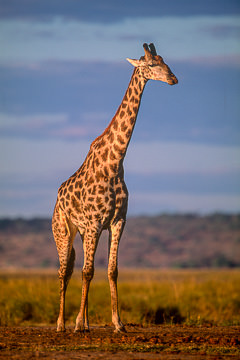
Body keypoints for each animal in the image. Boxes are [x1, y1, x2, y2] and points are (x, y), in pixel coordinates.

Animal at [51, 43, 177, 334]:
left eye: (164, 61)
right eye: (150, 65)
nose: (173, 79)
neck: (115, 162)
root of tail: (58, 195)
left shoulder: (118, 221)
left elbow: (111, 270)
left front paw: (118, 323)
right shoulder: (96, 222)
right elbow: (87, 272)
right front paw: (78, 325)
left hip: (83, 231)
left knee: (80, 268)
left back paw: (84, 322)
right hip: (63, 229)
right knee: (65, 271)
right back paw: (62, 324)